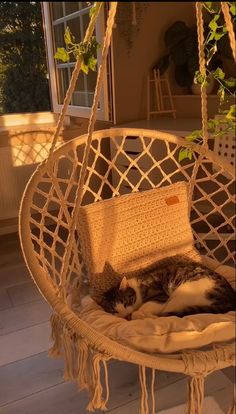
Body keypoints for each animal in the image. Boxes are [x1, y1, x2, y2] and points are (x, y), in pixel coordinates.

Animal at [98, 256, 236, 320]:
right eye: (114, 311)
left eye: (126, 302)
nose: (126, 315)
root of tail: (230, 300)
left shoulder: (160, 295)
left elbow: (146, 306)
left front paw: (137, 313)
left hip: (181, 294)